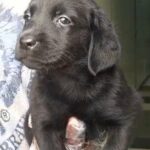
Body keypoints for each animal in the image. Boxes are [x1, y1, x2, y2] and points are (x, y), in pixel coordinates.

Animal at [15, 0, 142, 149]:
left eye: (63, 20)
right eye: (27, 17)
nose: (24, 42)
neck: (71, 80)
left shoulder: (125, 117)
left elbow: (114, 145)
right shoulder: (42, 123)